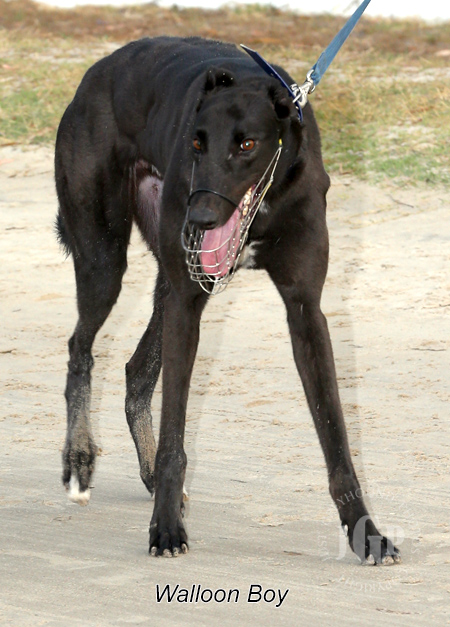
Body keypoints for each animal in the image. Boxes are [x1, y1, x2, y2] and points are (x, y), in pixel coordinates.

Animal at [55, 35, 400, 564]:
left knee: (136, 370)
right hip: (105, 259)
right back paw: (80, 456)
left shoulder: (305, 310)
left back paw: (147, 473)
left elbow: (336, 437)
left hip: (169, 280)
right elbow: (176, 437)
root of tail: (93, 75)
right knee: (81, 347)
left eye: (247, 144)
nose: (198, 218)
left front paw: (365, 531)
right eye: (196, 143)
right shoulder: (188, 304)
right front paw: (166, 529)